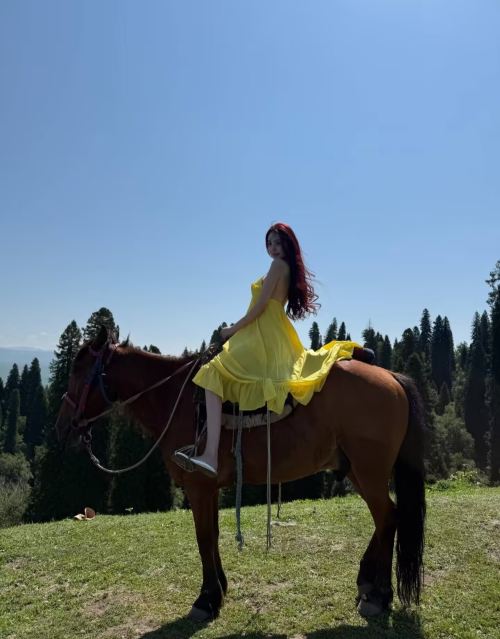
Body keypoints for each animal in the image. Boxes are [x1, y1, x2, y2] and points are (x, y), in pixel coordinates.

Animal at [55, 325, 426, 621]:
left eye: (78, 370)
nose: (63, 425)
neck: (175, 399)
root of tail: (392, 377)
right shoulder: (211, 488)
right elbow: (213, 535)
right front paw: (219, 589)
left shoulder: (198, 486)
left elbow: (204, 537)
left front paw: (206, 600)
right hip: (358, 471)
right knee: (387, 518)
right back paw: (368, 583)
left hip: (369, 471)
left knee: (387, 517)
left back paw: (379, 595)